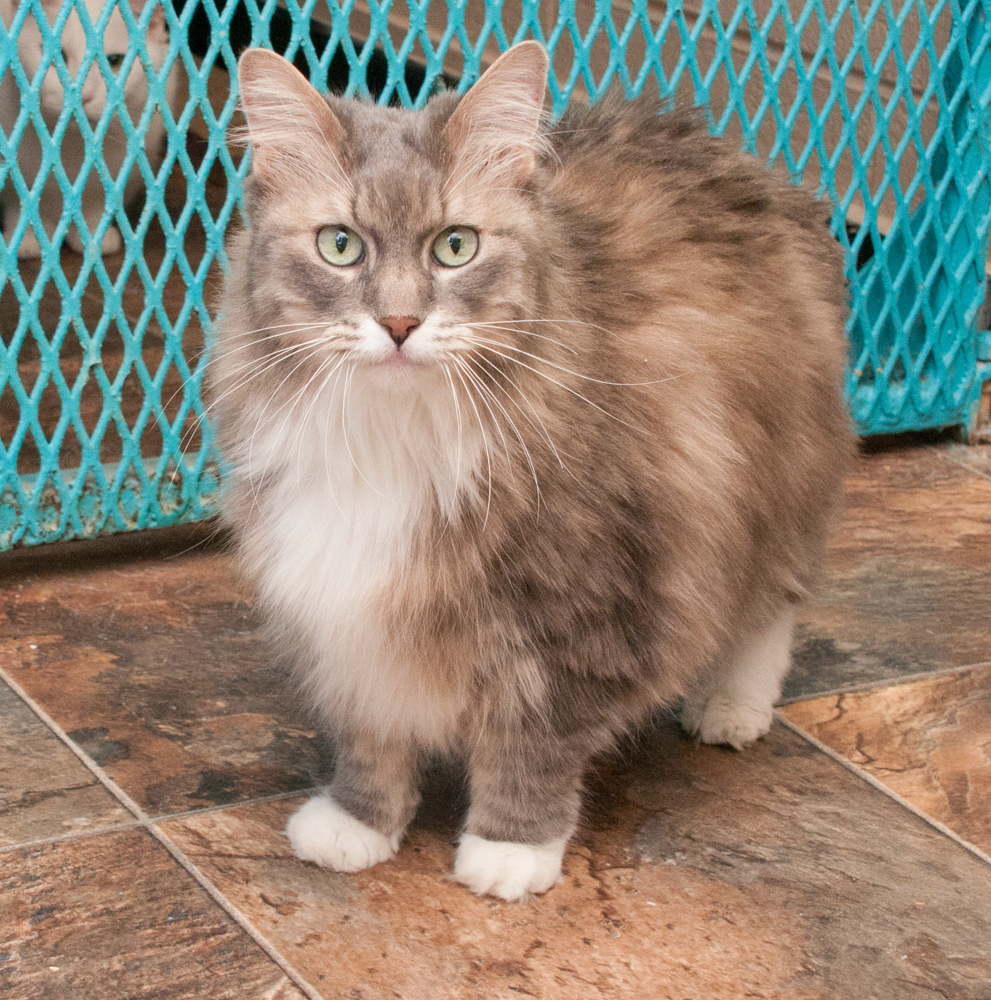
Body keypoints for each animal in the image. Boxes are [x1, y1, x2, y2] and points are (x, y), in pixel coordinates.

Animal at [0, 0, 176, 258]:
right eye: (58, 55)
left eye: (115, 61)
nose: (82, 96)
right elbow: (22, 203)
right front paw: (28, 238)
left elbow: (95, 203)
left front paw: (93, 236)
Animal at [213, 39, 856, 904]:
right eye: (339, 246)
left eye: (455, 246)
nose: (399, 323)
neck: (392, 434)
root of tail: (722, 145)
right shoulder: (345, 612)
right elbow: (372, 739)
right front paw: (357, 826)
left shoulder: (578, 611)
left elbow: (531, 748)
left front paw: (508, 852)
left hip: (777, 487)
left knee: (768, 609)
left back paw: (729, 706)